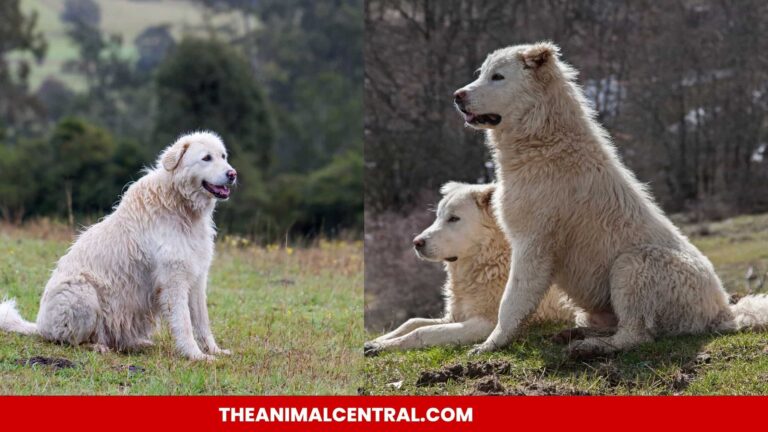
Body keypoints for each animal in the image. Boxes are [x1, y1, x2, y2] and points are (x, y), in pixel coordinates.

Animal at [366, 182, 588, 354]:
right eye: (438, 216)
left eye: (453, 218)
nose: (416, 243)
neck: (487, 264)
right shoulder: (454, 316)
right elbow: (412, 322)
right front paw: (378, 341)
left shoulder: (485, 323)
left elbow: (423, 331)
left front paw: (383, 347)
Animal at [452, 41, 768, 358]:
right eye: (481, 74)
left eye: (498, 77)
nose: (457, 96)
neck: (543, 141)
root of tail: (723, 310)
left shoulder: (533, 243)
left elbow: (510, 301)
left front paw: (490, 344)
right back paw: (575, 334)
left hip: (632, 265)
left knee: (634, 336)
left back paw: (588, 347)